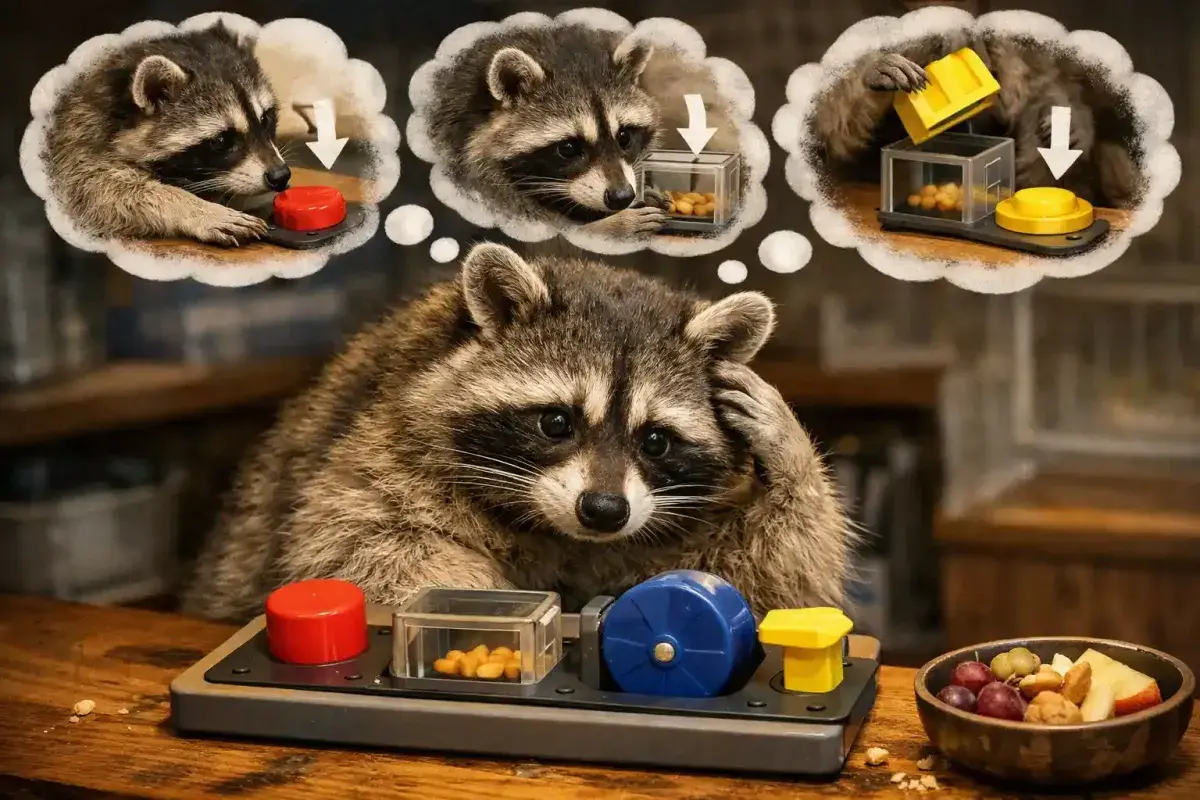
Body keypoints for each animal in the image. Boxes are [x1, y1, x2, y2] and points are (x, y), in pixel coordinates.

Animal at [42, 21, 290, 246]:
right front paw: (196, 209)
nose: (280, 176)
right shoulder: (77, 142)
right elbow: (97, 190)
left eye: (265, 119)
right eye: (220, 141)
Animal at [181, 242, 854, 623]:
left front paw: (790, 457)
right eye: (556, 422)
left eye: (655, 441)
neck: (560, 532)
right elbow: (362, 551)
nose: (604, 511)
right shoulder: (382, 439)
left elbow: (768, 582)